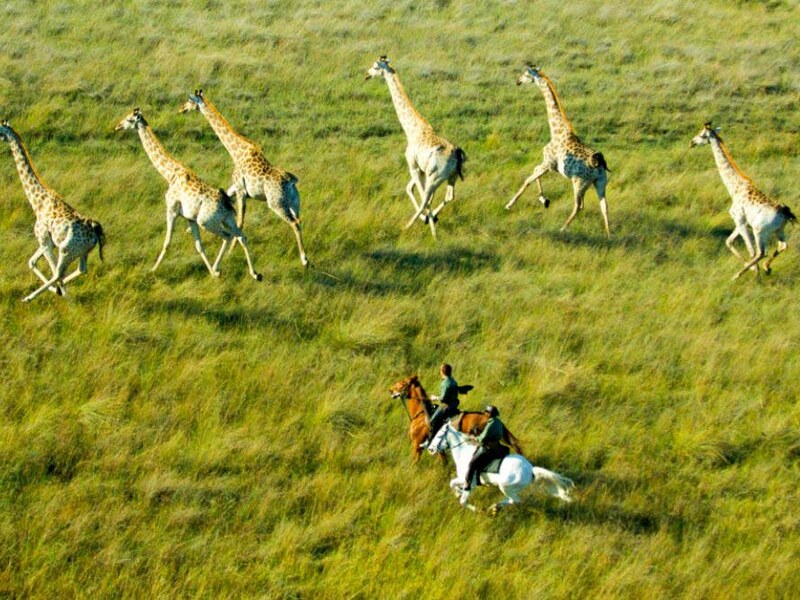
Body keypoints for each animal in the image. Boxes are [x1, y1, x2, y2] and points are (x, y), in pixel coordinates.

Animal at [389, 374, 524, 464]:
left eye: (403, 383)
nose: (390, 390)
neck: (421, 414)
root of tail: (495, 419)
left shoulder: (416, 445)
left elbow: (414, 463)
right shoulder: (438, 449)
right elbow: (444, 462)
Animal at [428, 422, 574, 513]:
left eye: (439, 434)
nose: (430, 449)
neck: (464, 452)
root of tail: (530, 470)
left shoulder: (470, 482)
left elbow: (463, 501)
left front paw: (478, 510)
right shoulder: (462, 480)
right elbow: (452, 483)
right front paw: (458, 492)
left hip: (505, 487)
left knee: (514, 500)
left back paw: (494, 507)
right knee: (512, 500)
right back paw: (495, 508)